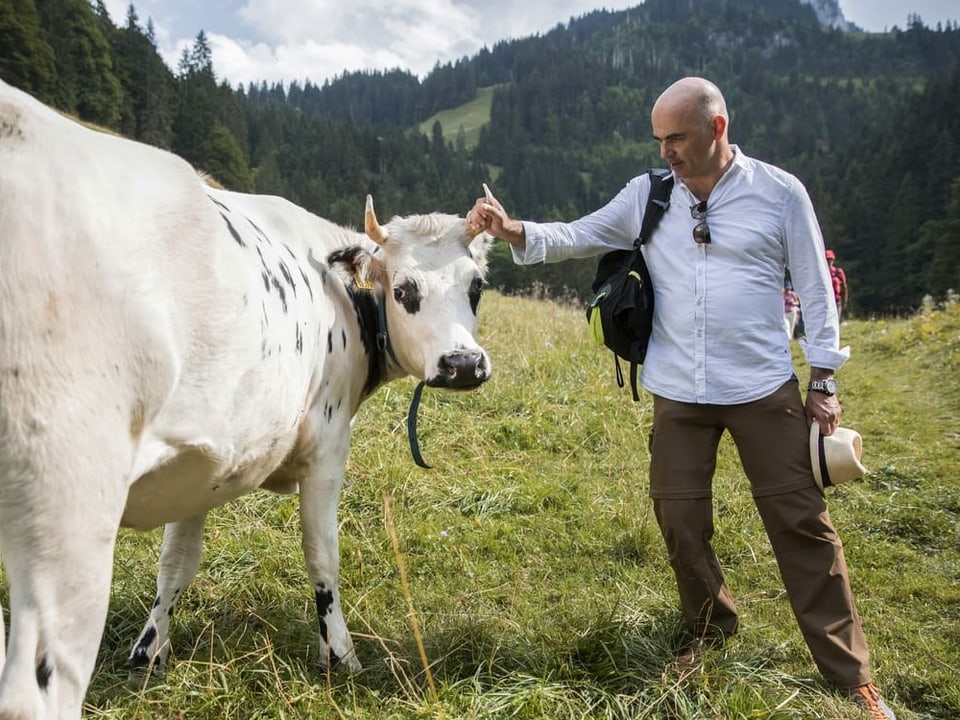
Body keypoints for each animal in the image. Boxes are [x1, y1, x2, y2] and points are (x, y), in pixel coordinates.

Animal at [0, 78, 493, 719]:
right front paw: (341, 658)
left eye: (477, 286)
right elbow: (322, 554)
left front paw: (149, 652)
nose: (463, 364)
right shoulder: (329, 445)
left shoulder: (203, 456)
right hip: (69, 502)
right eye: (405, 289)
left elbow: (175, 564)